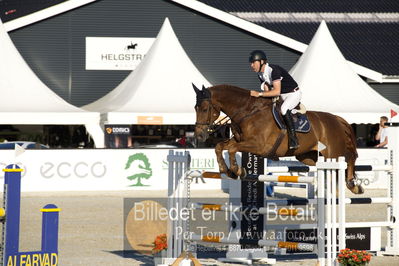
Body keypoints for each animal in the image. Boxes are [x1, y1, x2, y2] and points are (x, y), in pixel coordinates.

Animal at [195, 84, 366, 194]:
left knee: (350, 157)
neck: (248, 112)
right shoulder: (240, 141)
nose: (199, 135)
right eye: (195, 108)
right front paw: (226, 170)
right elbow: (220, 147)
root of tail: (336, 119)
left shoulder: (260, 146)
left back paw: (353, 185)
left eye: (204, 109)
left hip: (333, 153)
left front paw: (237, 170)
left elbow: (231, 149)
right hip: (309, 157)